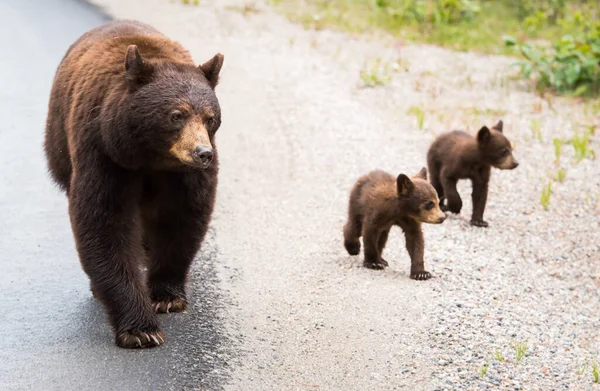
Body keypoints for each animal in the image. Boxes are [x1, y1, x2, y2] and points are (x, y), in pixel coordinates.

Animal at [43, 19, 224, 350]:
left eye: (210, 117)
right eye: (176, 115)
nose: (203, 153)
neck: (150, 156)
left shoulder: (185, 176)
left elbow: (183, 217)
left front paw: (166, 295)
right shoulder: (103, 153)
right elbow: (104, 222)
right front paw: (140, 329)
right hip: (59, 143)